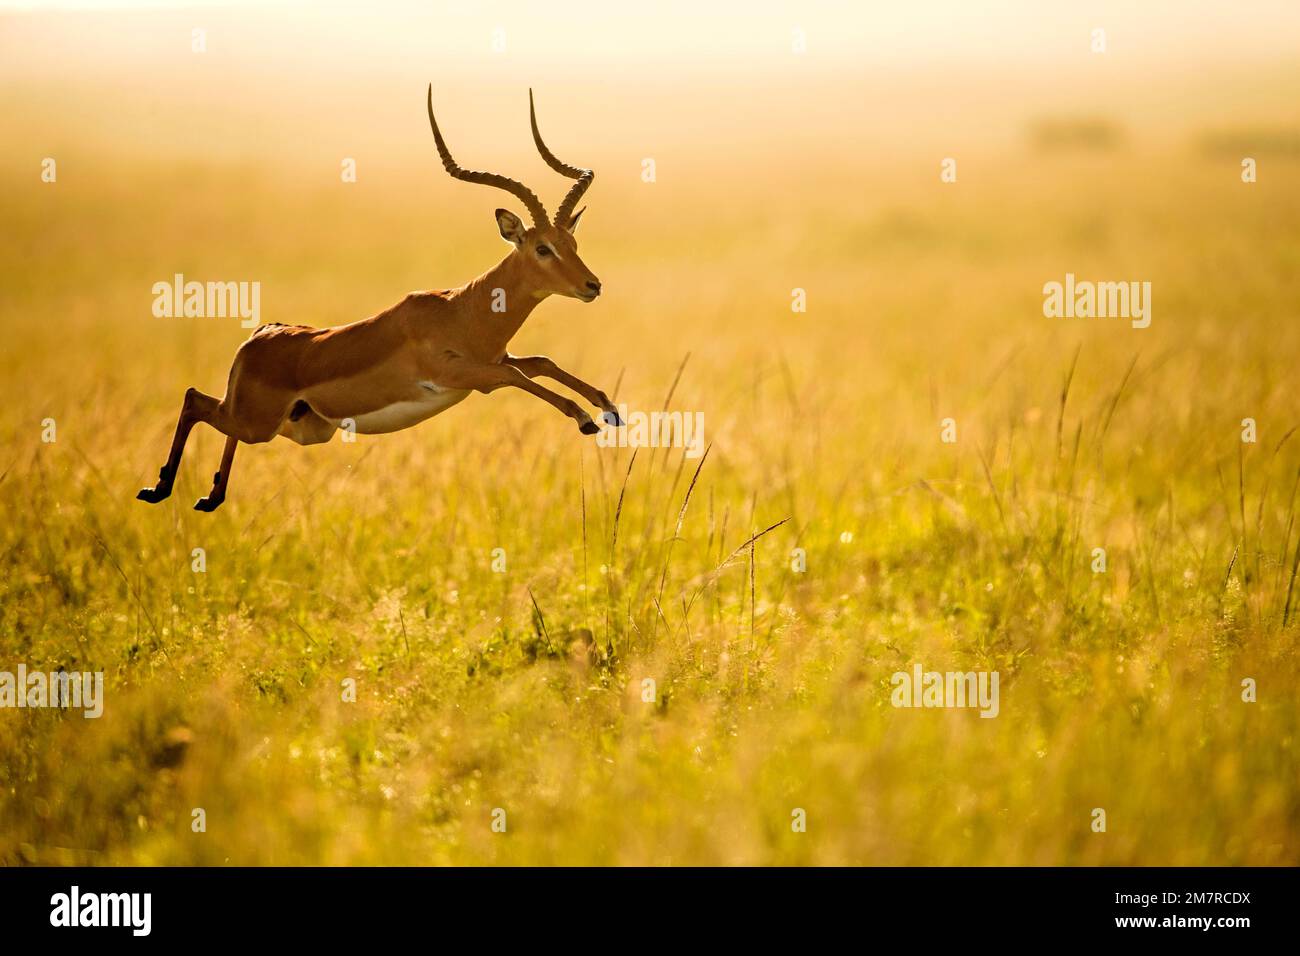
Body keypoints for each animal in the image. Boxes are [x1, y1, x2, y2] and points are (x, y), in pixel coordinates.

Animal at [137, 85, 623, 512]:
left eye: (571, 243)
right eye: (542, 248)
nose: (592, 285)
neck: (464, 311)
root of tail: (262, 335)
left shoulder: (494, 358)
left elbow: (540, 363)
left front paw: (611, 409)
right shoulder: (464, 374)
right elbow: (519, 376)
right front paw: (585, 419)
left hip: (294, 427)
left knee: (213, 414)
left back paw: (210, 497)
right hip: (257, 421)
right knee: (194, 399)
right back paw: (159, 489)